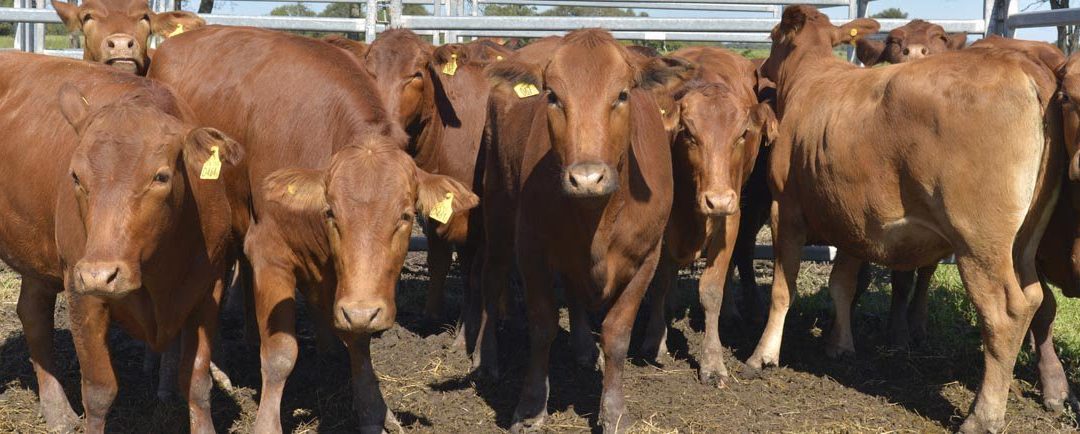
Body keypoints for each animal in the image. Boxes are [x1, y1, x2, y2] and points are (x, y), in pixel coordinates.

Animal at [0, 52, 242, 434]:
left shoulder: (209, 288)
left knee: (33, 313)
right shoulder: (81, 292)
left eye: (161, 176)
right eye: (75, 176)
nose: (100, 274)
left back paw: (57, 410)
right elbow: (99, 391)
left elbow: (197, 384)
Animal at [147, 26, 479, 433]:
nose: (365, 310)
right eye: (332, 212)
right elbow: (280, 353)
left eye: (404, 216)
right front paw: (267, 423)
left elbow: (357, 341)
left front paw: (374, 410)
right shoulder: (270, 253)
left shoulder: (347, 283)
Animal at [477, 29, 690, 432]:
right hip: (495, 201)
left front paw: (614, 411)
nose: (587, 178)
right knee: (491, 278)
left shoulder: (647, 257)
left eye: (621, 94)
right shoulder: (530, 249)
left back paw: (582, 348)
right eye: (553, 96)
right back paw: (487, 361)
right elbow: (542, 325)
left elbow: (617, 333)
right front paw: (531, 407)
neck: (598, 216)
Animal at [638, 46, 777, 387]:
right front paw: (655, 340)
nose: (718, 200)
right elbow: (660, 281)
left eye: (742, 135)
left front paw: (712, 362)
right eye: (688, 133)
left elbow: (711, 289)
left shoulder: (731, 219)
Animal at [752, 6, 1063, 433]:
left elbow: (783, 289)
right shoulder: (851, 216)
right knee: (1034, 298)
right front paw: (839, 345)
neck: (809, 81)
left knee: (1006, 313)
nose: (760, 69)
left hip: (979, 240)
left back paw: (982, 415)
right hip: (1026, 238)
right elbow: (842, 284)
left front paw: (763, 355)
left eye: (772, 37)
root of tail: (1023, 69)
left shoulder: (785, 208)